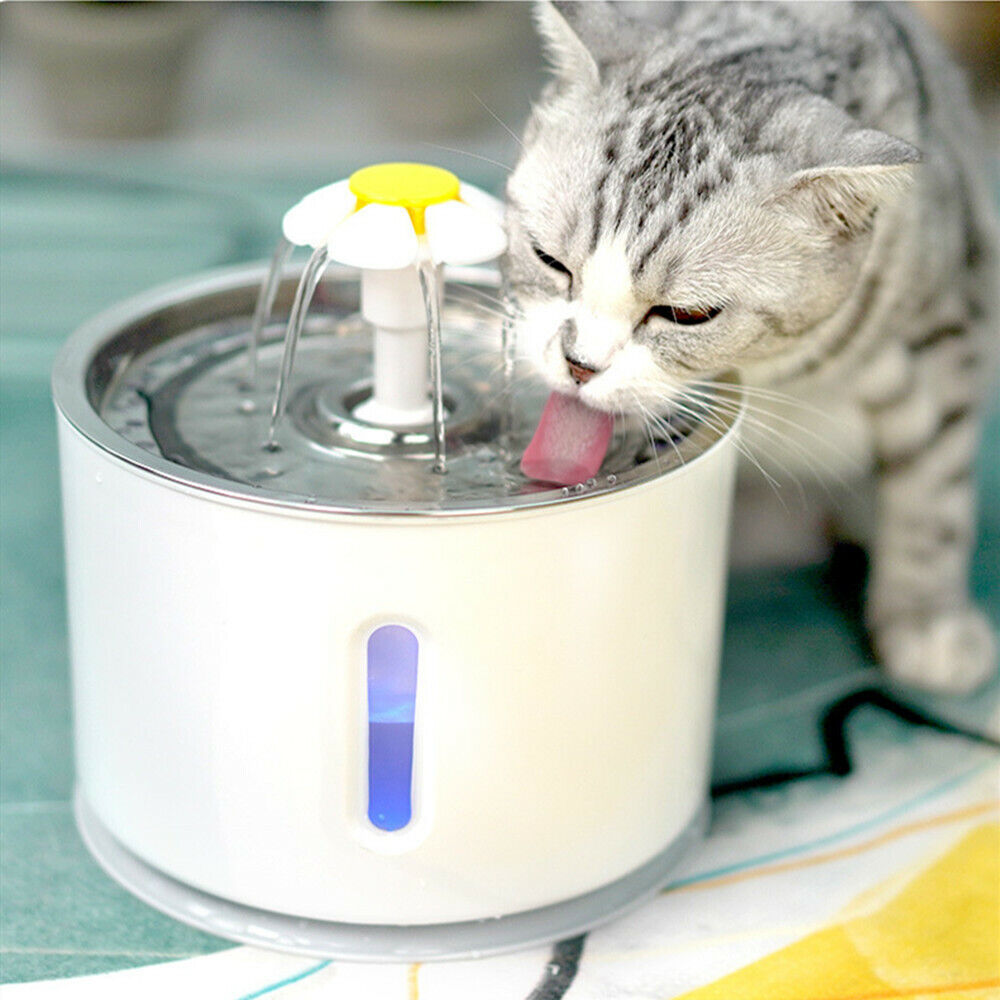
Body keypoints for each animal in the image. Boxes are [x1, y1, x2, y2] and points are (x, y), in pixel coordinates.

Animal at [508, 0, 1000, 692]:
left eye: (686, 314)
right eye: (548, 260)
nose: (579, 364)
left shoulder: (946, 333)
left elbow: (934, 493)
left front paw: (926, 620)